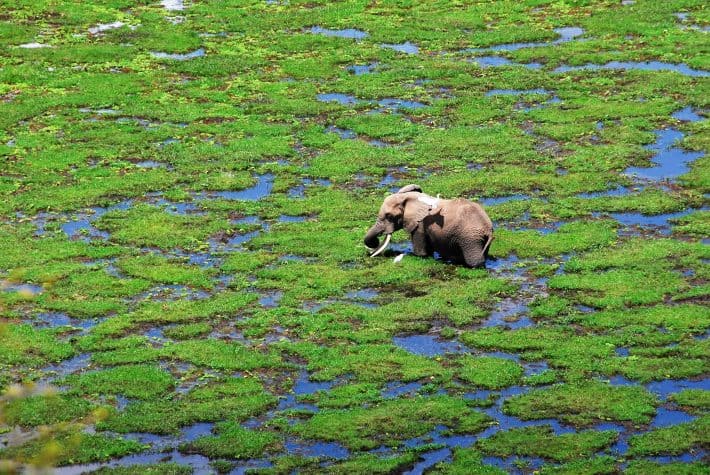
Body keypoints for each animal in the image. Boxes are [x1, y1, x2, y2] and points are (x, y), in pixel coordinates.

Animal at [364, 184, 492, 268]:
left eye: (389, 216)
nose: (375, 243)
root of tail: (488, 228)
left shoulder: (420, 224)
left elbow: (421, 252)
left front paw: (419, 256)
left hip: (470, 238)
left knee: (475, 261)